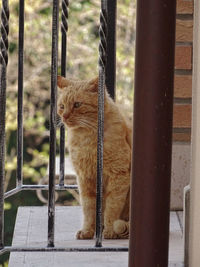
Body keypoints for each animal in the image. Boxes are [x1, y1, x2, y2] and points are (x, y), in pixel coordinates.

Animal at [56, 76, 131, 241]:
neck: (87, 139)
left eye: (77, 104)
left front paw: (109, 231)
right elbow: (88, 209)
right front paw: (87, 231)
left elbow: (111, 208)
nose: (64, 117)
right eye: (62, 106)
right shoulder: (85, 178)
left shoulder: (119, 175)